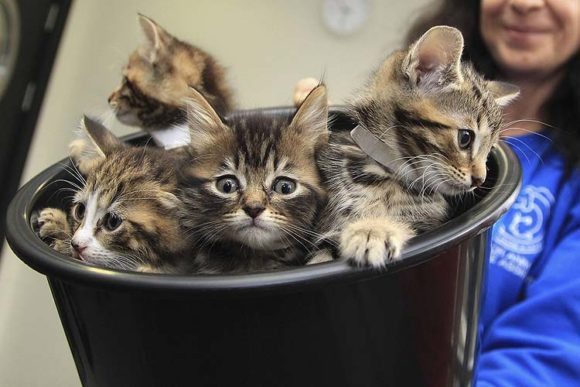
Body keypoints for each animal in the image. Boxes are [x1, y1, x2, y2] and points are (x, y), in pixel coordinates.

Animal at [310, 26, 520, 270]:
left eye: (490, 149)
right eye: (465, 138)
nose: (480, 179)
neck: (389, 177)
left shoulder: (428, 227)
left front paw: (376, 230)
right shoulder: (325, 233)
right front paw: (372, 229)